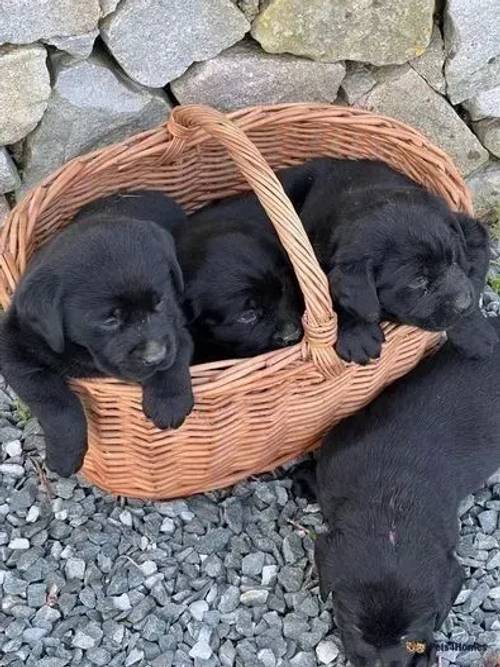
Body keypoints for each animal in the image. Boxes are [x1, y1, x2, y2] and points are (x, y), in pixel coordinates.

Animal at [0, 190, 193, 478]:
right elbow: (56, 403)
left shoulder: (176, 326)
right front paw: (64, 456)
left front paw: (169, 402)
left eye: (159, 302)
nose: (155, 356)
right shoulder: (14, 348)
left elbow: (177, 354)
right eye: (109, 319)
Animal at [278, 157, 496, 366]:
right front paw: (357, 336)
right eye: (418, 281)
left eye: (453, 260)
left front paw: (476, 335)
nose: (464, 303)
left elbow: (470, 280)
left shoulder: (472, 232)